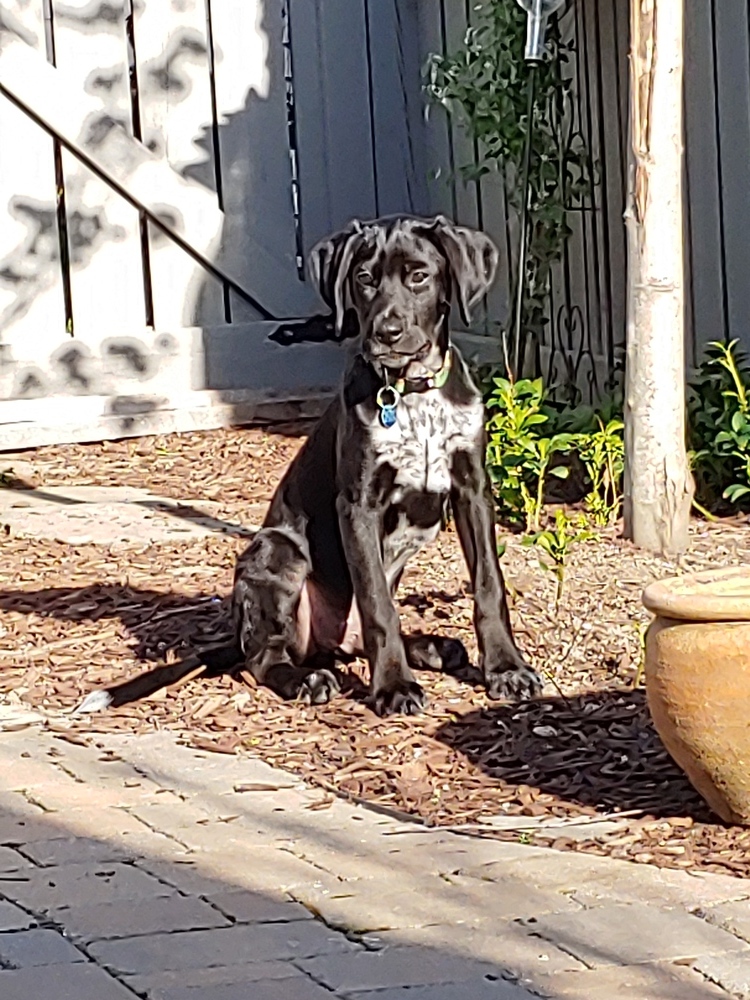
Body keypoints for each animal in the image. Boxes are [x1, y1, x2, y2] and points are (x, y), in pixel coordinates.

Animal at [79, 217, 544, 720]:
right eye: (364, 278)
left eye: (419, 275)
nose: (386, 332)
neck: (413, 393)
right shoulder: (357, 505)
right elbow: (379, 605)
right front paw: (394, 687)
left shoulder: (472, 490)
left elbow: (488, 585)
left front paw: (506, 668)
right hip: (278, 552)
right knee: (264, 659)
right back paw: (310, 679)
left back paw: (432, 648)